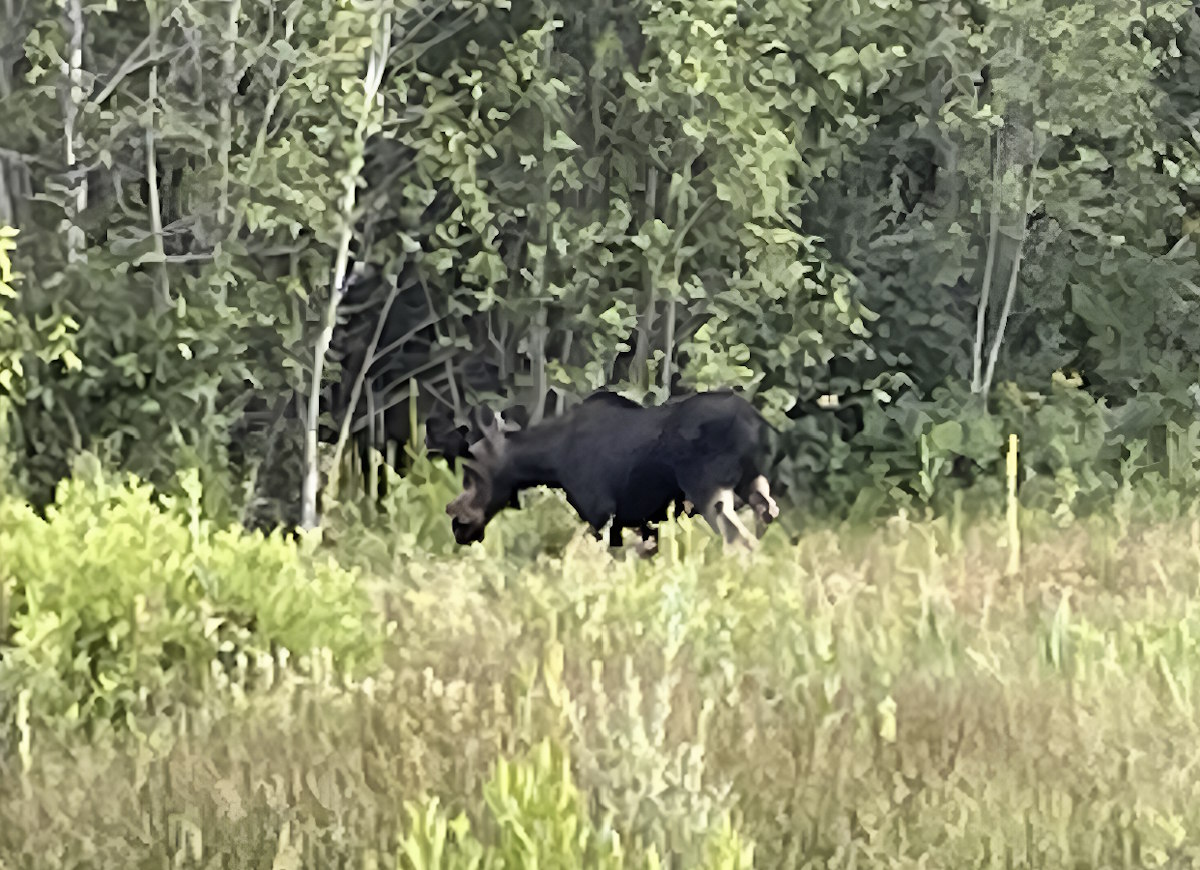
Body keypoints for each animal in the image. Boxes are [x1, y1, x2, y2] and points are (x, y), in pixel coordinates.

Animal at [438, 389, 780, 553]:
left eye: (473, 472)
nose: (457, 523)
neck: (552, 460)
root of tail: (761, 424)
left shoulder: (599, 510)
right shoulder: (637, 519)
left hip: (707, 486)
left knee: (739, 540)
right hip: (753, 481)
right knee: (766, 515)